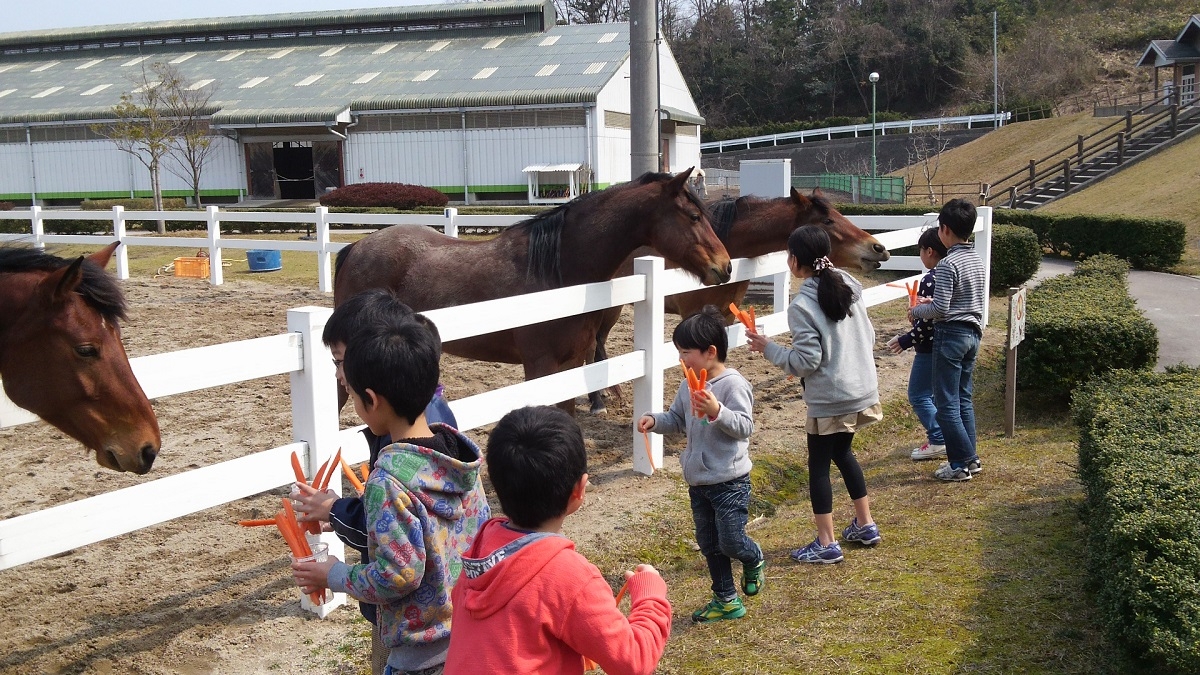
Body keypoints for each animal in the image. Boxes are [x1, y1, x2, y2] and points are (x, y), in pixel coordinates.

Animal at [333, 168, 734, 413]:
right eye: (694, 216)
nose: (725, 266)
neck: (558, 272)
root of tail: (357, 247)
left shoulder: (570, 363)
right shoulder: (539, 366)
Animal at [585, 186, 888, 413]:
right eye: (827, 221)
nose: (878, 248)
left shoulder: (725, 315)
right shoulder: (691, 316)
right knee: (593, 345)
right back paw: (598, 401)